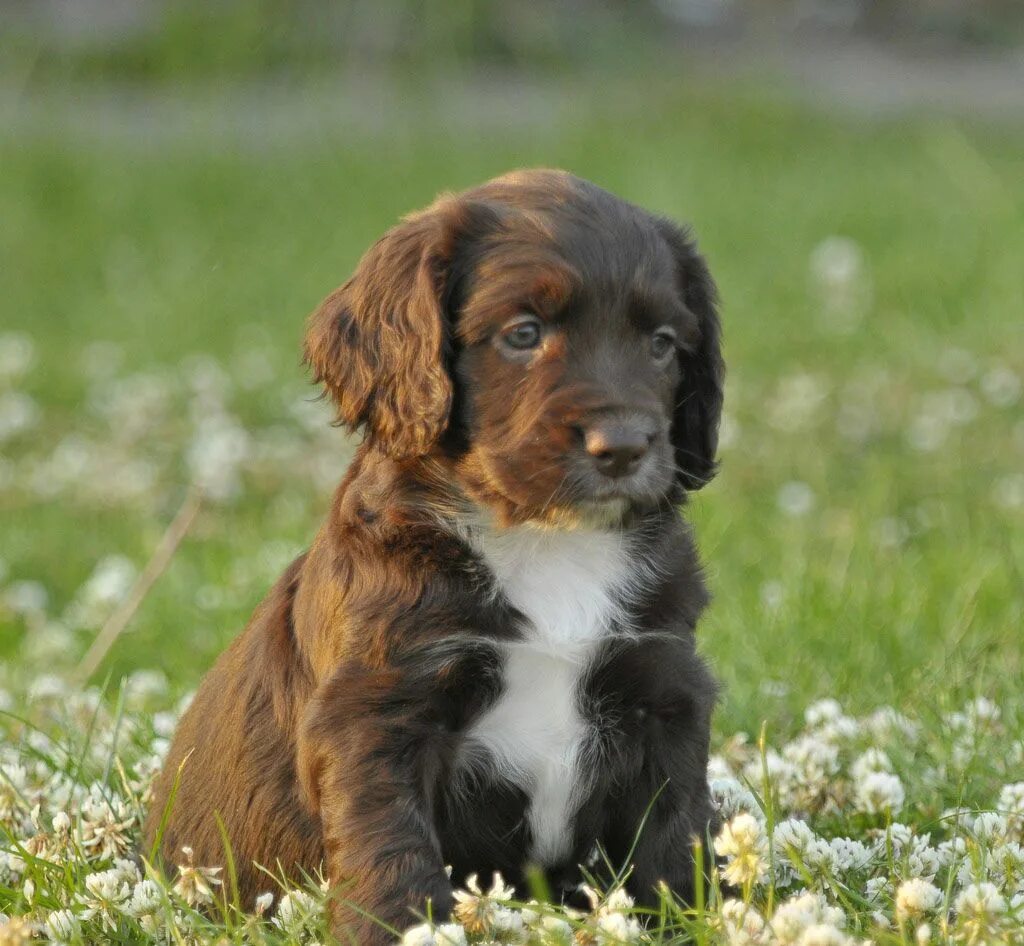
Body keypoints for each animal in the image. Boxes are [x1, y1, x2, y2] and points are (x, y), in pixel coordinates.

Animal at [144, 172, 724, 946]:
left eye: (662, 344)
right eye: (523, 333)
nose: (625, 447)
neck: (545, 540)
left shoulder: (663, 689)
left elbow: (673, 834)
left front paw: (695, 920)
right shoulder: (378, 711)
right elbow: (391, 850)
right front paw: (400, 928)